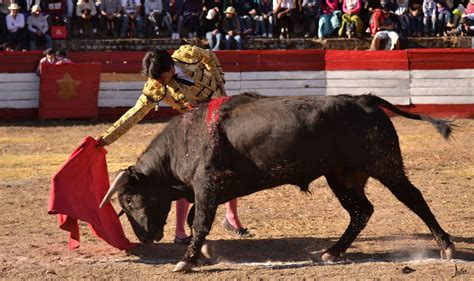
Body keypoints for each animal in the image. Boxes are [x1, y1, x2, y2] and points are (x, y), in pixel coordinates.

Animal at [100, 93, 456, 270]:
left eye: (129, 199)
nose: (144, 237)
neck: (182, 143)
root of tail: (366, 100)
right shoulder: (211, 191)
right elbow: (192, 220)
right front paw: (203, 253)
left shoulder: (206, 185)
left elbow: (199, 221)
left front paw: (186, 261)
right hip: (343, 177)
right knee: (361, 211)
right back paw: (333, 252)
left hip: (384, 164)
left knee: (413, 197)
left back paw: (446, 246)